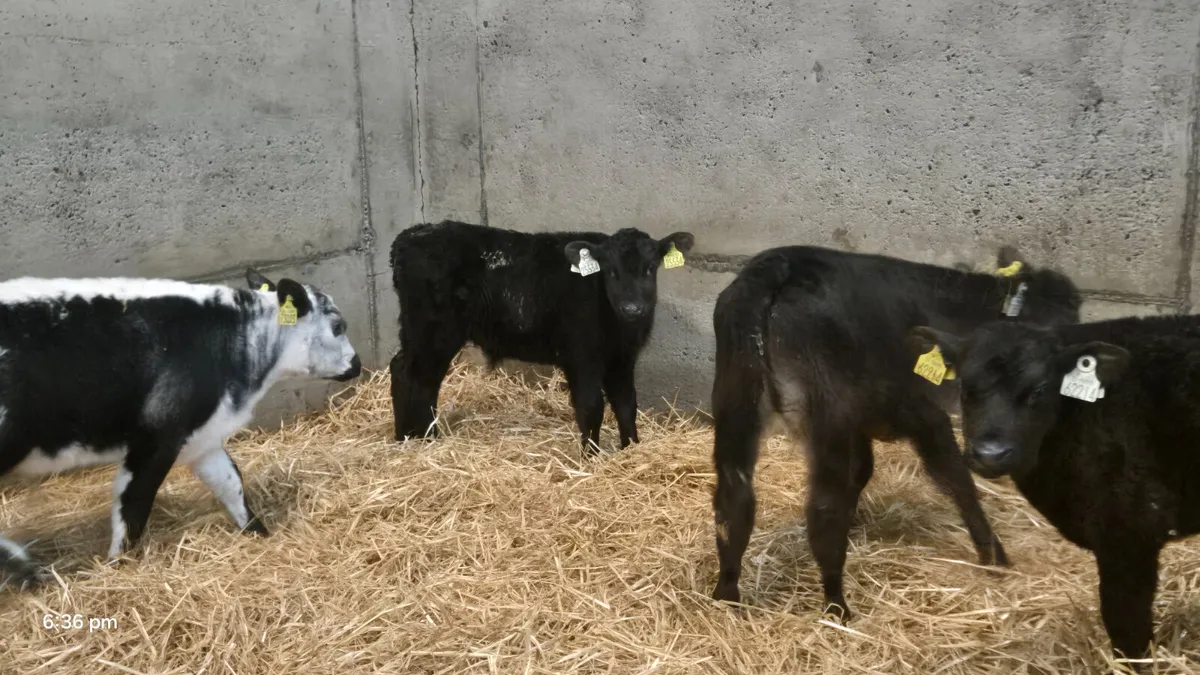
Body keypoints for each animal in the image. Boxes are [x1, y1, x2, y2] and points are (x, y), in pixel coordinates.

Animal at [0, 270, 361, 587]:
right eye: (338, 325)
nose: (357, 365)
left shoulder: (204, 437)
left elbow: (231, 483)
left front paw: (258, 532)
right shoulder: (158, 437)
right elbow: (133, 504)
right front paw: (118, 566)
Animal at [388, 220, 694, 454]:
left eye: (650, 268)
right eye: (611, 271)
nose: (633, 308)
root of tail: (412, 235)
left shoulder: (622, 358)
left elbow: (626, 404)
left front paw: (631, 449)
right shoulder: (581, 357)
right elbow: (591, 407)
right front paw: (591, 457)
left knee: (409, 373)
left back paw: (410, 436)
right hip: (434, 330)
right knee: (416, 378)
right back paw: (423, 438)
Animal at [710, 245, 1082, 619]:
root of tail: (779, 266)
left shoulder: (862, 421)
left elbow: (863, 471)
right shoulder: (923, 410)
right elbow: (957, 480)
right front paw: (994, 556)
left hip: (735, 395)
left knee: (734, 499)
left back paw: (726, 596)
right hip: (827, 409)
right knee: (823, 508)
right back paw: (837, 607)